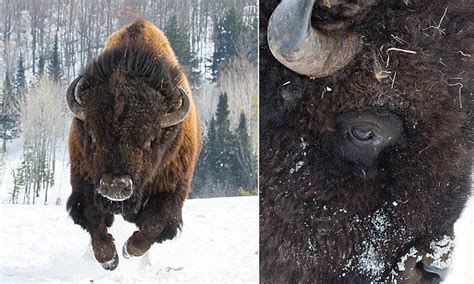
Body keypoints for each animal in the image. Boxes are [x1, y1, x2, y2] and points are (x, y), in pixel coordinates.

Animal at [64, 20, 200, 270]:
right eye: (93, 136)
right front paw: (109, 259)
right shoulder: (84, 181)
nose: (115, 187)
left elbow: (156, 223)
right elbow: (93, 218)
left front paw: (129, 249)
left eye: (149, 140)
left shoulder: (172, 190)